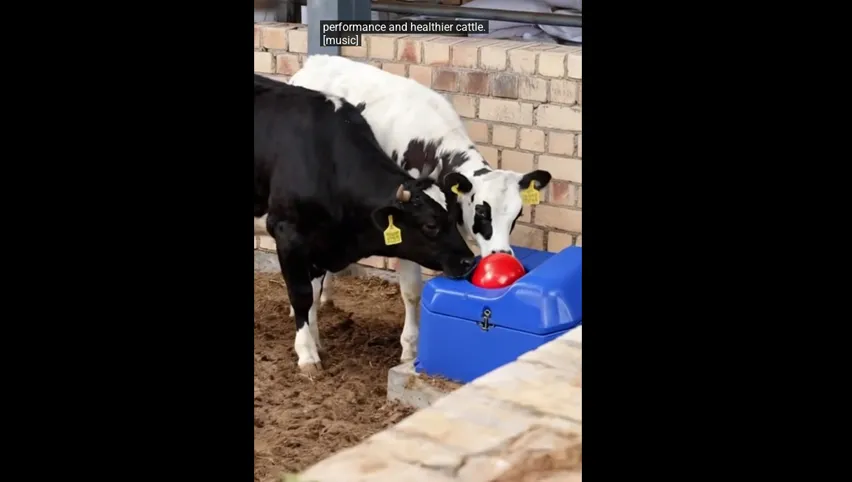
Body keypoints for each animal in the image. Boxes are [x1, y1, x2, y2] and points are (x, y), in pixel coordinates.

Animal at [254, 75, 476, 373]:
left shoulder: (318, 244)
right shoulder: (287, 233)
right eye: (430, 225)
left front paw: (317, 343)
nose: (469, 261)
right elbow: (300, 295)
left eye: (454, 218)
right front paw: (307, 354)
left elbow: (313, 295)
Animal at [289, 55, 553, 362]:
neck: (432, 149)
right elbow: (412, 291)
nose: (502, 255)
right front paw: (409, 347)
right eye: (481, 212)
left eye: (516, 215)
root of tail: (318, 59)